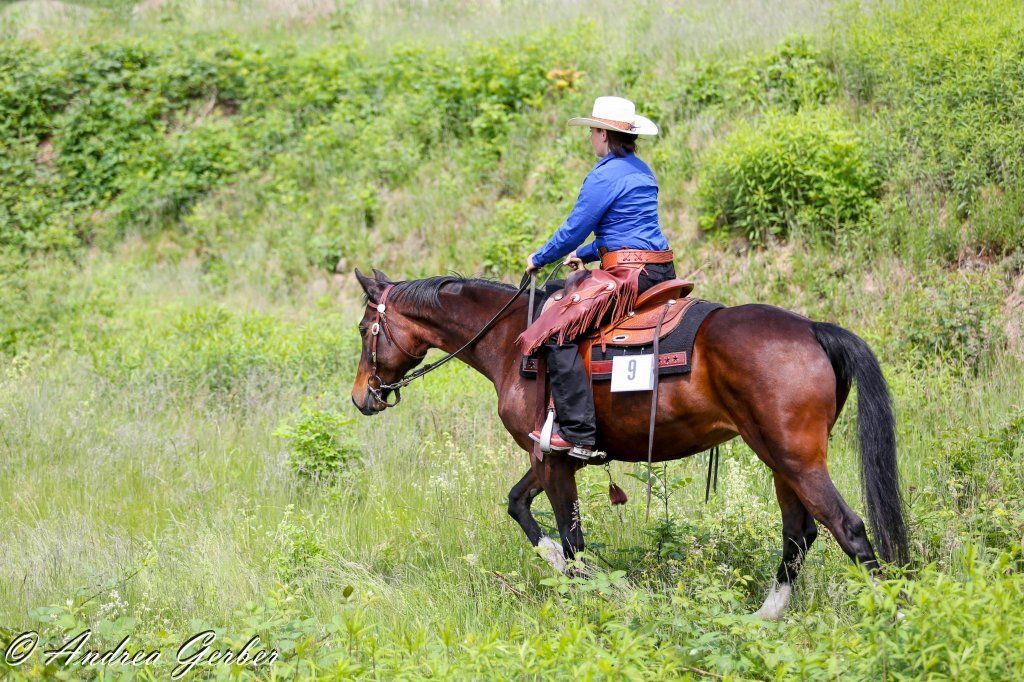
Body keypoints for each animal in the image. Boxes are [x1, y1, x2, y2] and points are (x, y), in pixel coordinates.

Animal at [350, 268, 908, 619]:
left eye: (363, 329)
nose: (361, 397)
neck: (511, 342)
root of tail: (812, 329)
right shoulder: (550, 456)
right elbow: (517, 505)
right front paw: (562, 565)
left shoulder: (552, 460)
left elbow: (572, 538)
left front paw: (587, 592)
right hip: (779, 459)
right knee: (799, 534)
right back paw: (765, 617)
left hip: (795, 458)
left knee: (848, 529)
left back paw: (896, 617)